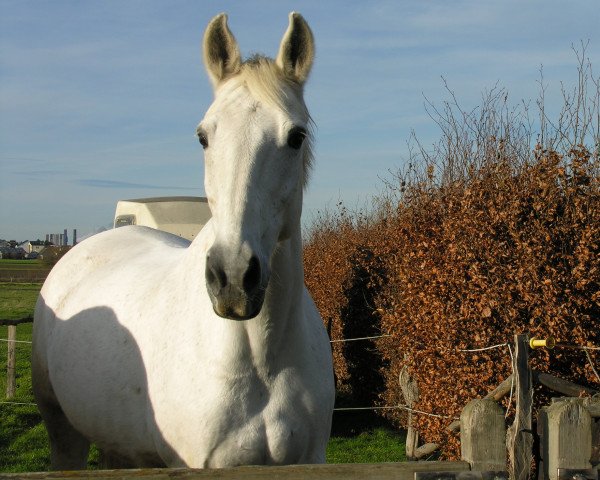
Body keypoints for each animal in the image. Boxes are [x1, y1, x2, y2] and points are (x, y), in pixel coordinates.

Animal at [32, 13, 336, 470]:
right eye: (203, 137)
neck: (261, 361)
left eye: (296, 136)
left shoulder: (310, 459)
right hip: (63, 433)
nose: (233, 279)